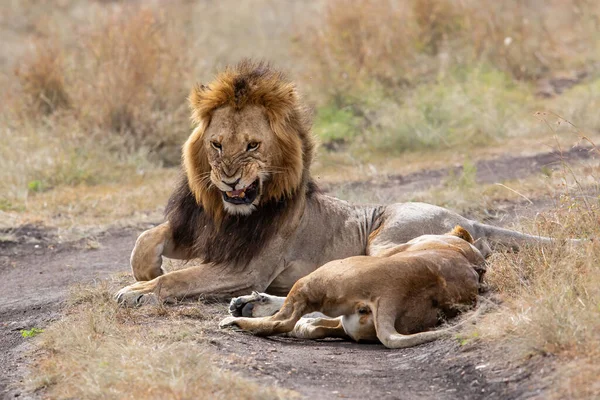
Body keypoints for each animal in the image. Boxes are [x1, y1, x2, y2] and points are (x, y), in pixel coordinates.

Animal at [117, 59, 556, 308]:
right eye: (217, 145)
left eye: (252, 145)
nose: (228, 180)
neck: (232, 214)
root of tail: (467, 216)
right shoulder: (204, 232)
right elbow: (146, 238)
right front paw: (146, 270)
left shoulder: (247, 267)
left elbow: (180, 277)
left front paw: (139, 291)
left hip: (390, 237)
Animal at [218, 227, 486, 348]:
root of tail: (393, 293)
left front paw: (250, 304)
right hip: (351, 321)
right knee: (307, 325)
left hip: (326, 271)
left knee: (283, 320)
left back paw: (236, 321)